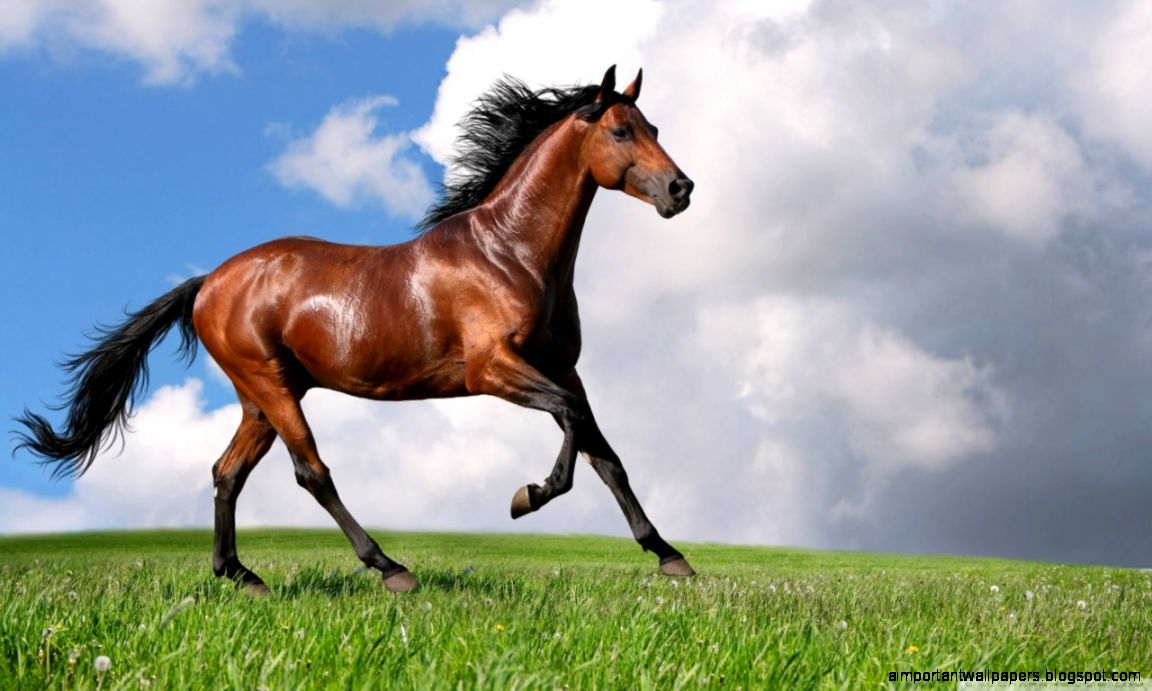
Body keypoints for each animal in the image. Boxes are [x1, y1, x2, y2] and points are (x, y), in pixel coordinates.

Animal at [15, 65, 696, 594]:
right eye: (621, 130)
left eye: (655, 129)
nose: (681, 188)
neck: (510, 253)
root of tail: (209, 281)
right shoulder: (493, 369)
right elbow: (573, 429)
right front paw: (526, 496)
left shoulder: (562, 367)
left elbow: (605, 454)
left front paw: (669, 556)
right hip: (271, 386)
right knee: (310, 471)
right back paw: (390, 568)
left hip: (260, 397)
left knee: (227, 472)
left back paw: (242, 576)